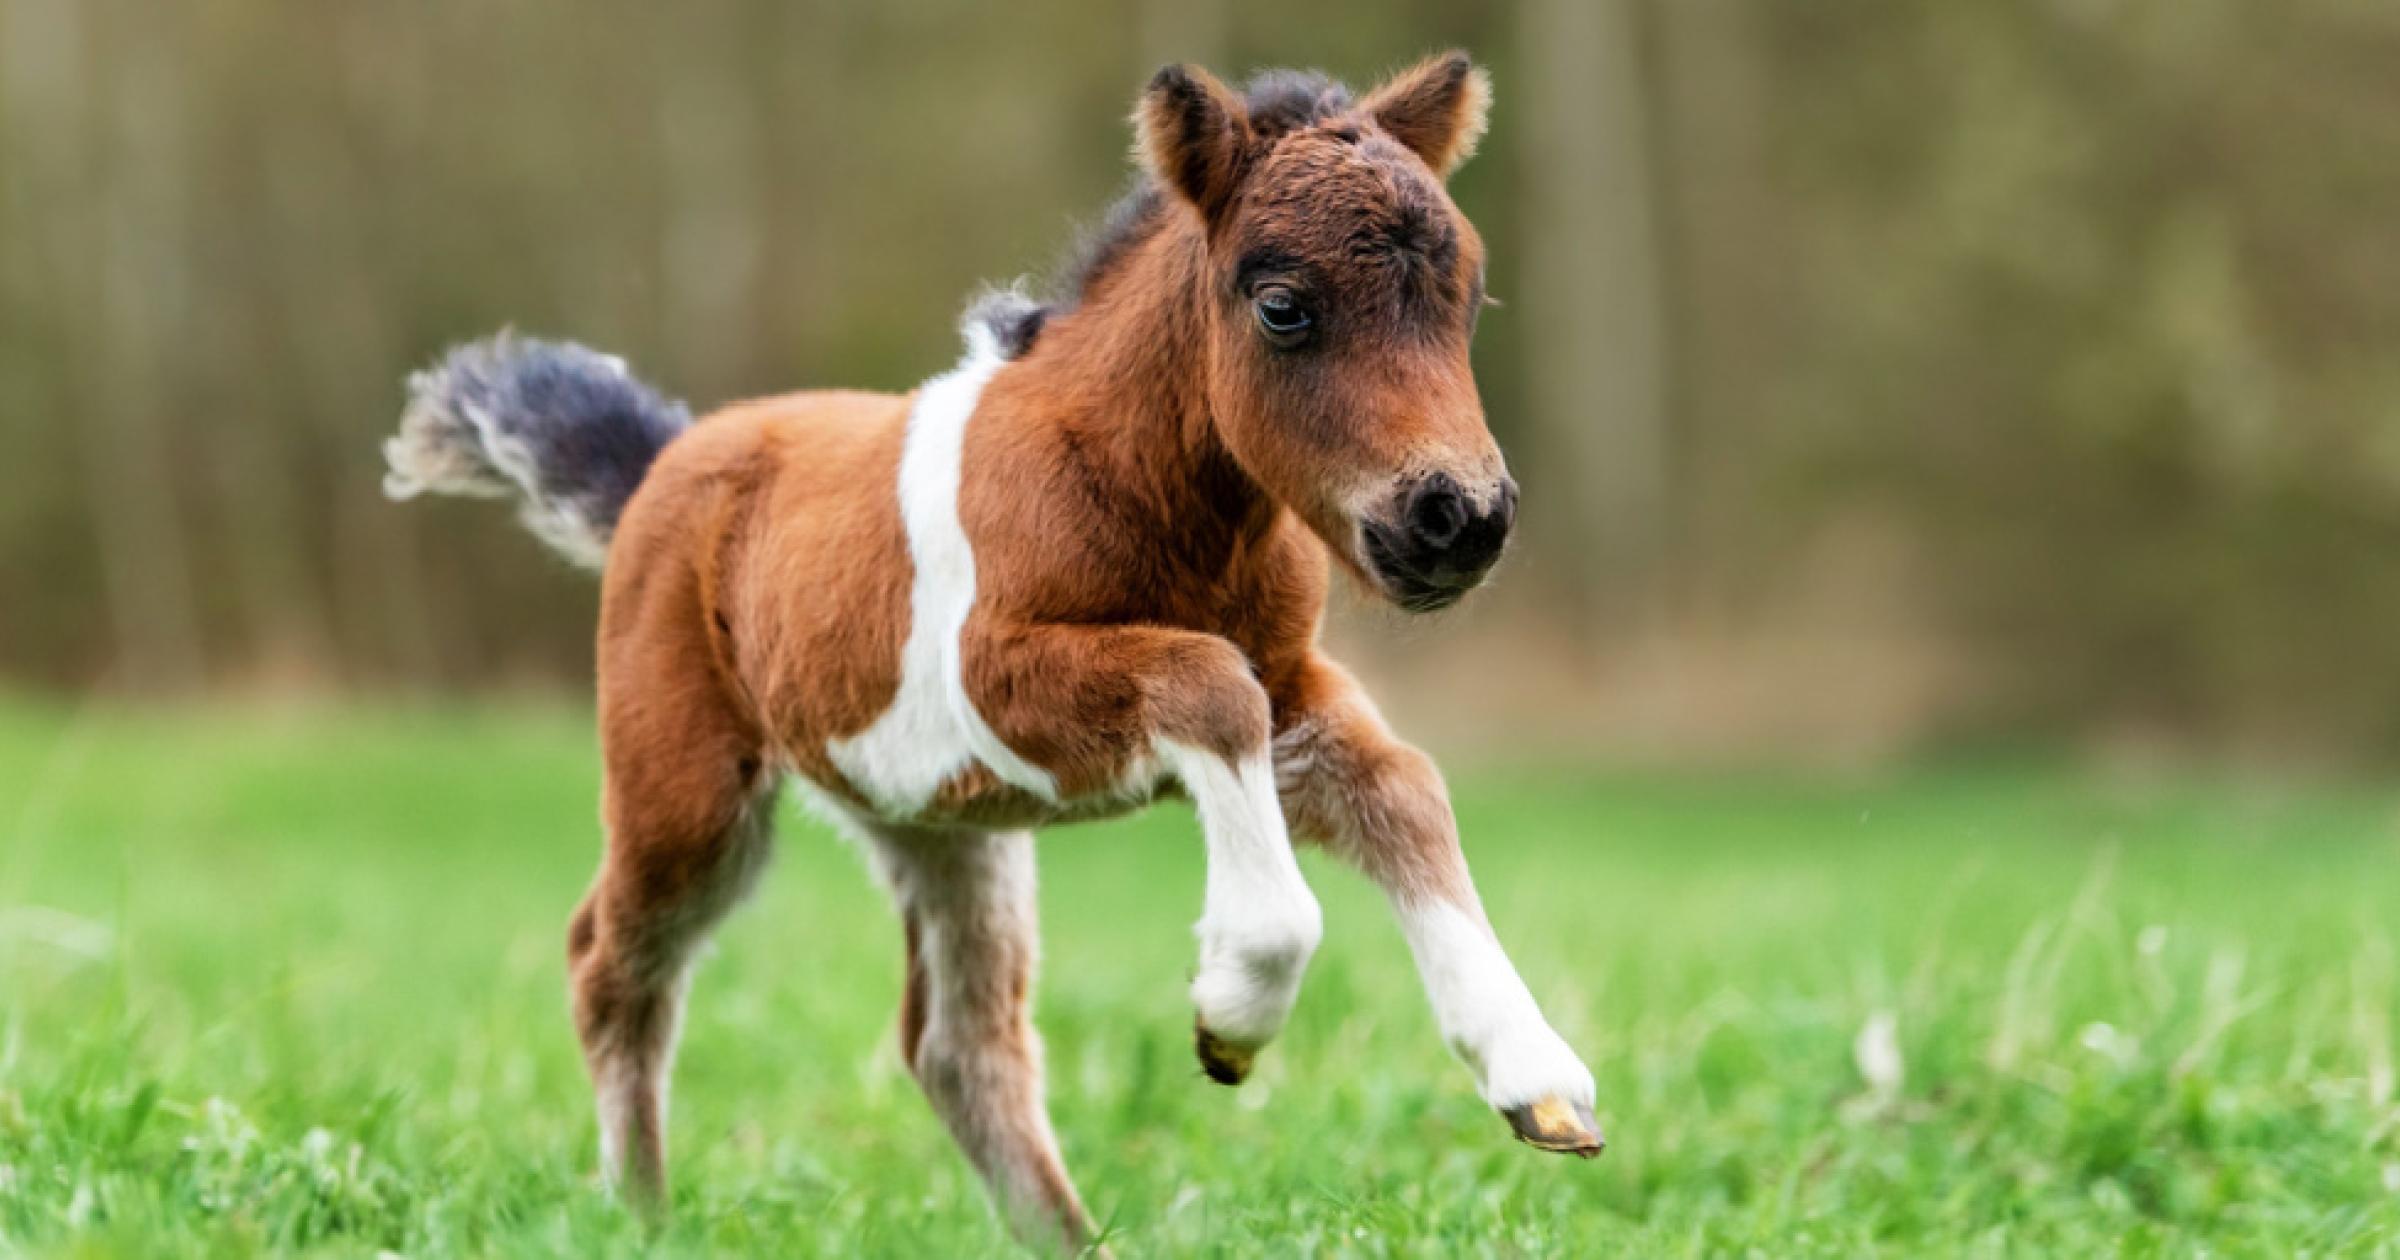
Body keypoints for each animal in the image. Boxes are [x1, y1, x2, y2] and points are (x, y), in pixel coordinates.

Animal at [382, 52, 1599, 1251]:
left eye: (1467, 297)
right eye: (1284, 307)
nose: (1459, 517)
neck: (1161, 506)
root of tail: (663, 461)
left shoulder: (1291, 690)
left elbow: (1402, 787)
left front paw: (1536, 1075)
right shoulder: (1001, 682)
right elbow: (1209, 690)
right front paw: (1232, 1016)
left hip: (939, 824)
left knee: (958, 1043)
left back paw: (1067, 1237)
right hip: (689, 791)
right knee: (613, 966)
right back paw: (640, 1219)